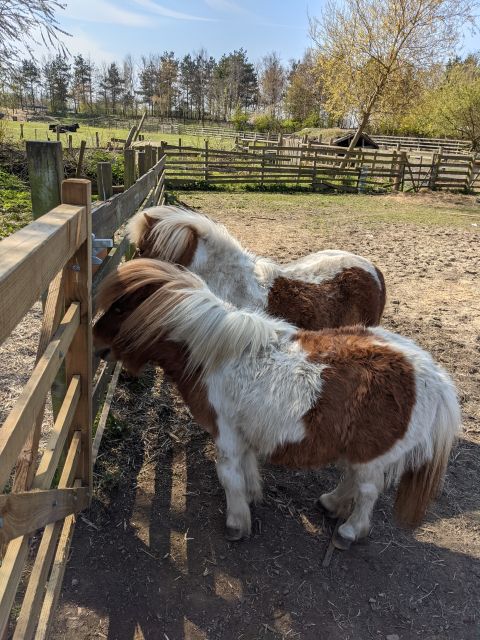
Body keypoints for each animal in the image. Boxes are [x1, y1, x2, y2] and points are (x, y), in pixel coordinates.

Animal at [93, 260, 462, 552]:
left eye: (119, 308)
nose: (95, 342)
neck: (215, 355)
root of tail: (431, 372)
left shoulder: (226, 434)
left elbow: (228, 476)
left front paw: (236, 523)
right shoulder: (241, 434)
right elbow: (245, 470)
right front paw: (251, 498)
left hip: (373, 454)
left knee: (368, 491)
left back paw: (349, 531)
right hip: (359, 451)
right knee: (353, 479)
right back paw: (331, 503)